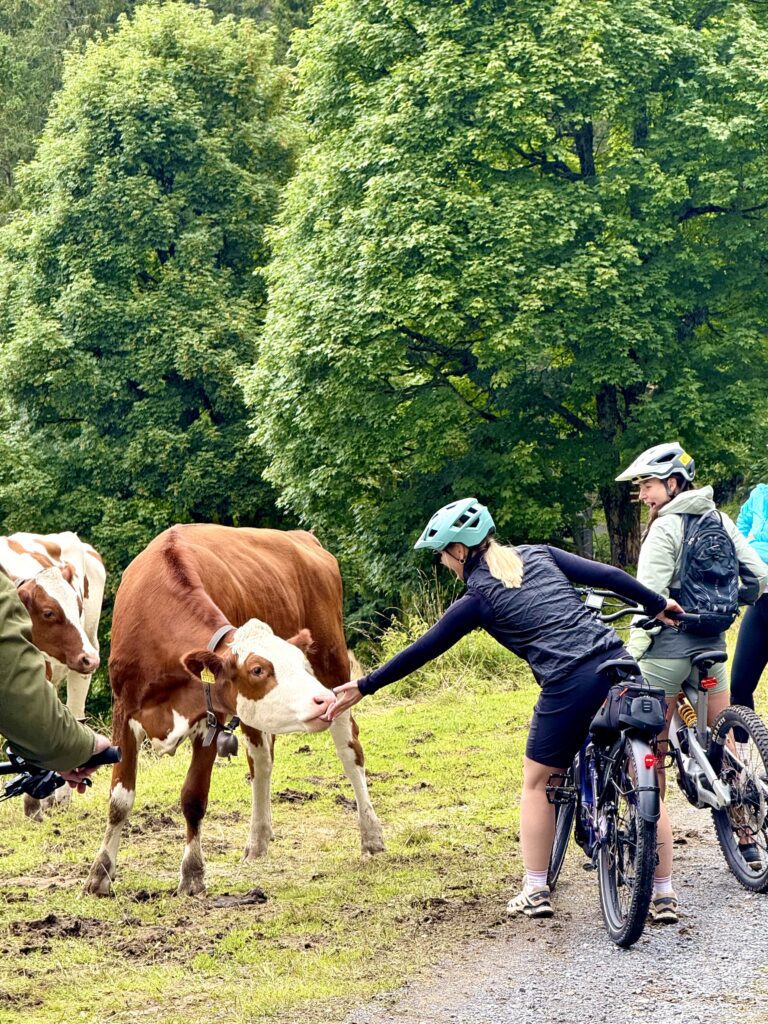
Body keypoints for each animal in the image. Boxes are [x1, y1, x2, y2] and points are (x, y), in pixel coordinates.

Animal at [84, 524, 384, 897]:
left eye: (300, 663)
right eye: (257, 670)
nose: (322, 700)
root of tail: (302, 536)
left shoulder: (212, 720)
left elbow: (194, 797)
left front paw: (192, 874)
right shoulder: (124, 711)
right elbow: (119, 800)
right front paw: (100, 874)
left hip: (334, 661)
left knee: (349, 749)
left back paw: (370, 833)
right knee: (262, 760)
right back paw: (258, 840)